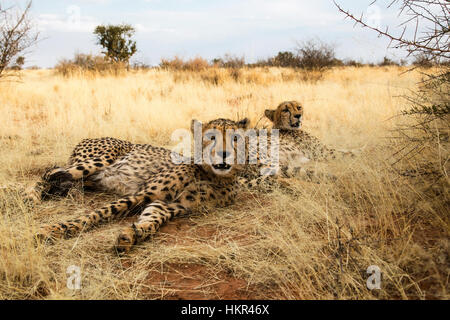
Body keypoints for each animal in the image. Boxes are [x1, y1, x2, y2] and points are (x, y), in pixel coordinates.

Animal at [34, 117, 250, 252]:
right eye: (211, 138)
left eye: (235, 138)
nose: (224, 154)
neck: (213, 176)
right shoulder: (141, 194)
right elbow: (98, 213)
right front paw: (54, 230)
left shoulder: (172, 205)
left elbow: (152, 219)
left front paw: (132, 233)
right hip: (99, 159)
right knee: (50, 173)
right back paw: (32, 197)